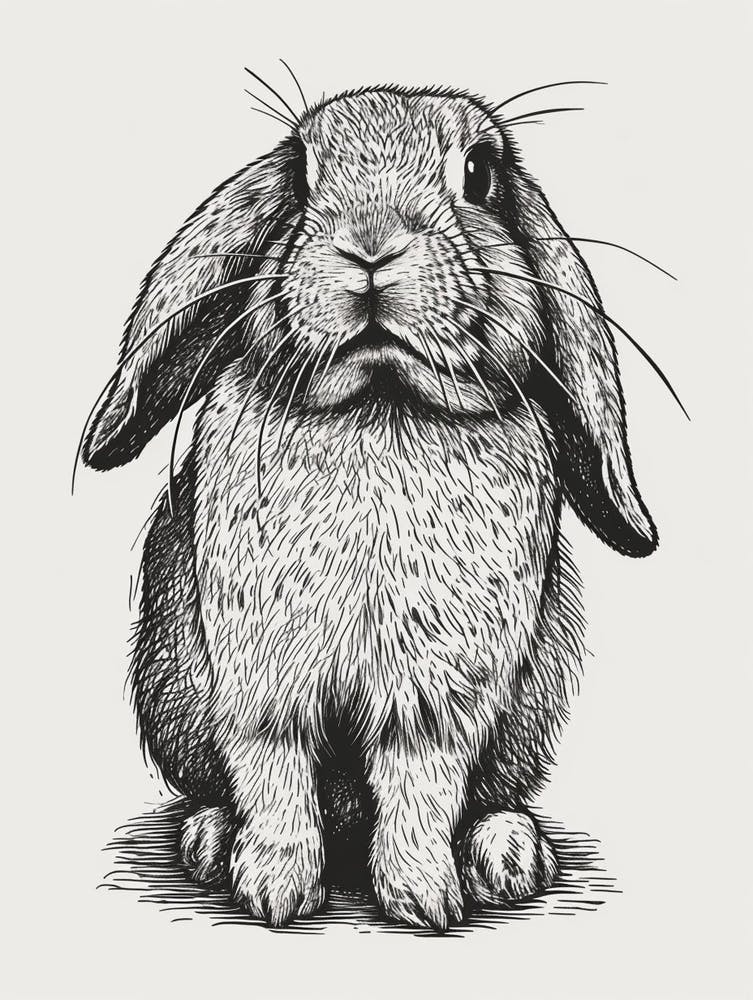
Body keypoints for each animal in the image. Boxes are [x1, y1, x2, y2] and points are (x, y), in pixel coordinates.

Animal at [80, 84, 658, 931]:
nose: (371, 244)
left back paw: (507, 856)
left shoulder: (437, 697)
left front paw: (424, 900)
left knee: (486, 798)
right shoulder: (262, 679)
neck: (379, 400)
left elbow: (421, 784)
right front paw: (274, 892)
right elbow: (274, 771)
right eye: (300, 173)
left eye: (479, 174)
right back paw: (213, 841)